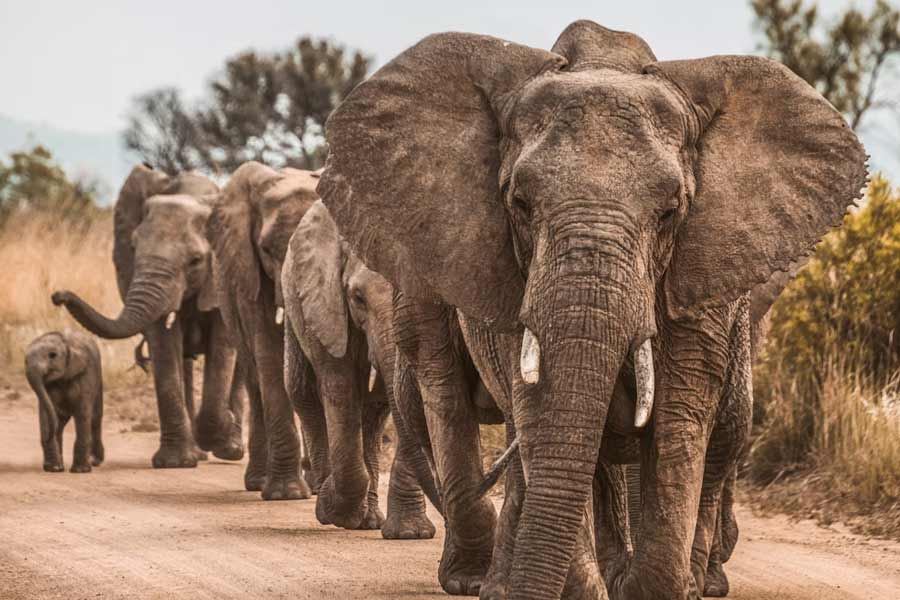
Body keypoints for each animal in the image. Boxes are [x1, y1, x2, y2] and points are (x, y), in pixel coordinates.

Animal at [25, 330, 104, 473]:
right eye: (25, 360)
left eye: (52, 355)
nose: (46, 437)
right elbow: (47, 412)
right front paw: (53, 469)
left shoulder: (86, 374)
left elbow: (82, 413)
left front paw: (80, 471)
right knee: (60, 423)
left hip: (99, 380)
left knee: (95, 418)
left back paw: (94, 461)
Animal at [52, 165, 244, 469]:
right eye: (132, 248)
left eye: (196, 261)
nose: (58, 295)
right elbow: (163, 345)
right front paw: (176, 463)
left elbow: (223, 348)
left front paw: (220, 429)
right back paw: (199, 452)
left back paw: (231, 449)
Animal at [206, 161, 320, 500]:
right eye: (267, 250)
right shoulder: (248, 272)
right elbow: (268, 352)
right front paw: (286, 494)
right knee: (255, 379)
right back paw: (259, 481)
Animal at [281, 199, 440, 535]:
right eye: (357, 298)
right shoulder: (326, 300)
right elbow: (340, 386)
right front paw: (332, 508)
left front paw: (410, 534)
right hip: (294, 300)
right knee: (302, 391)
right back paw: (327, 501)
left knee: (375, 409)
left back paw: (368, 520)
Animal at [316, 20, 867, 600]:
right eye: (519, 204)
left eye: (671, 212)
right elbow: (541, 411)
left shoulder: (704, 268)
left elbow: (680, 415)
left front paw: (654, 585)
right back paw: (482, 581)